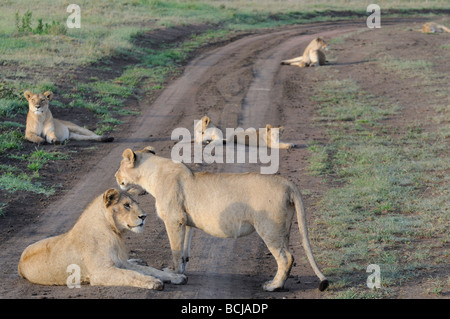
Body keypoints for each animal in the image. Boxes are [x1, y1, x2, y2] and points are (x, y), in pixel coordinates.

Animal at [17, 189, 186, 292]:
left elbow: (151, 270)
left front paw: (176, 277)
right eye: (126, 205)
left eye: (137, 203)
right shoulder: (101, 273)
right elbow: (130, 275)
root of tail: (19, 263)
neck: (115, 234)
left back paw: (139, 260)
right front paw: (153, 282)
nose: (144, 216)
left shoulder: (121, 262)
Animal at [114, 148, 328, 292]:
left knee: (286, 258)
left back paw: (273, 286)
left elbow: (175, 250)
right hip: (284, 229)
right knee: (289, 255)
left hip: (270, 229)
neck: (152, 174)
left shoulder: (174, 220)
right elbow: (184, 252)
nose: (115, 176)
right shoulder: (186, 223)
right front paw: (181, 272)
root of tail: (287, 182)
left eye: (120, 165)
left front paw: (174, 273)